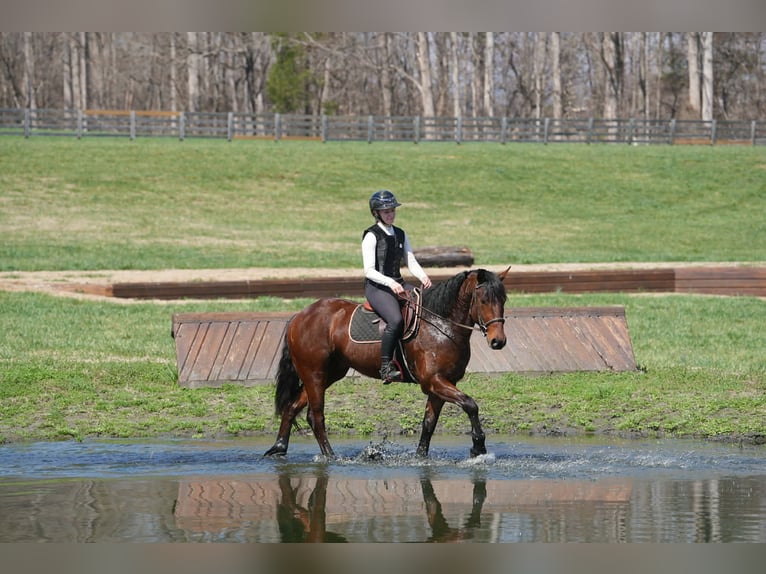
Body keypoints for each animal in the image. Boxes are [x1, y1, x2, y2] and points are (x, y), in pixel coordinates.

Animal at [263, 267, 509, 459]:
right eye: (484, 300)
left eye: (504, 300)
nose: (498, 341)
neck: (441, 325)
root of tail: (300, 316)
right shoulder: (434, 381)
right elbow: (470, 404)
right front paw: (478, 446)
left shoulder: (441, 384)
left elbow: (429, 422)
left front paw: (420, 457)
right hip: (314, 373)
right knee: (316, 416)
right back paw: (330, 456)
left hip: (327, 374)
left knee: (292, 407)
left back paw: (279, 448)